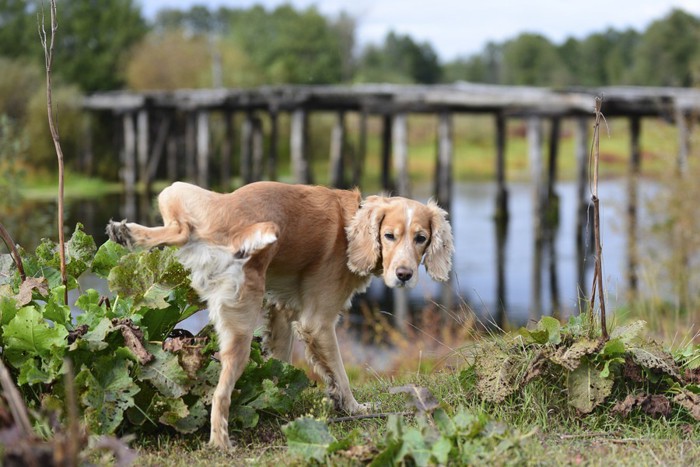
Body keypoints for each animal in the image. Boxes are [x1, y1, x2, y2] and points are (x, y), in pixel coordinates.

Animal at [106, 181, 452, 448]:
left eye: (421, 238)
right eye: (389, 236)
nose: (405, 275)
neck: (351, 223)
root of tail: (235, 231)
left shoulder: (283, 311)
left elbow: (281, 363)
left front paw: (277, 397)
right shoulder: (318, 323)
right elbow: (340, 374)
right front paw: (352, 407)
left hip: (176, 191)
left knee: (179, 228)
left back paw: (126, 232)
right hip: (241, 330)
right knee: (220, 395)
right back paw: (221, 442)